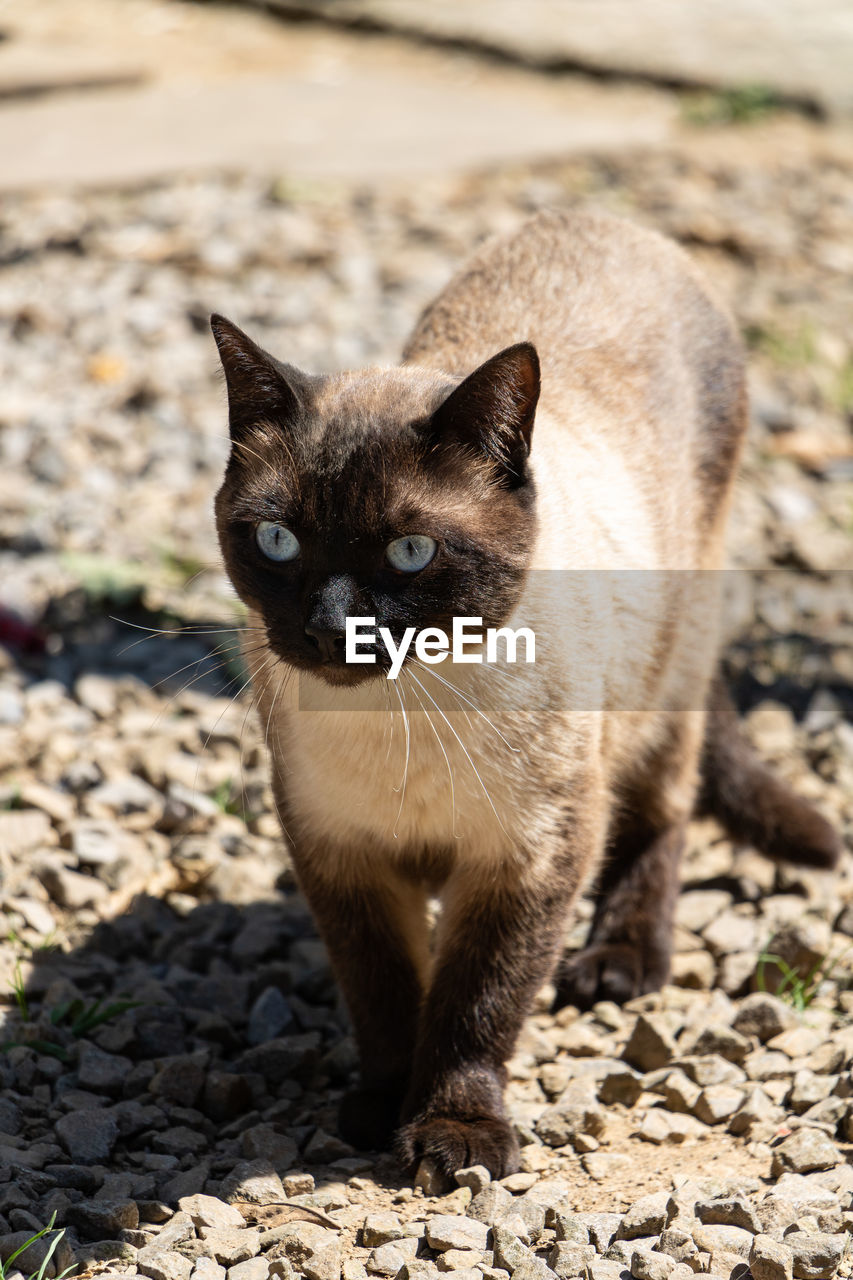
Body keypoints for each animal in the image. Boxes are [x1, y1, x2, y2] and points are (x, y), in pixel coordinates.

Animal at [208, 209, 835, 1177]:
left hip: (664, 678)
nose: (328, 628)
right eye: (277, 541)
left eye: (410, 554)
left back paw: (619, 962)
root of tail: (608, 219)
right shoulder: (340, 858)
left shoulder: (529, 858)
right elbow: (384, 996)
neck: (402, 718)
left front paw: (453, 1136)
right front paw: (379, 1109)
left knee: (662, 814)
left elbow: (475, 1005)